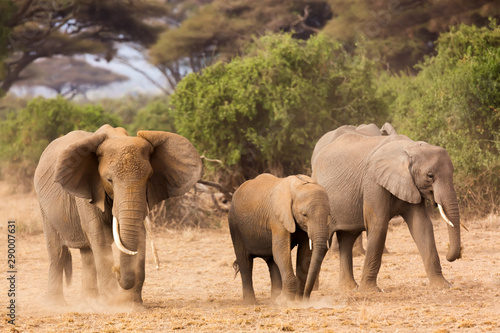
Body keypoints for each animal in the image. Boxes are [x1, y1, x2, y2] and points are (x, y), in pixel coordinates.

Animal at [33, 124, 203, 304]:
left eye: (149, 178)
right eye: (109, 180)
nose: (117, 270)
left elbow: (139, 235)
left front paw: (132, 304)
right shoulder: (88, 191)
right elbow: (99, 235)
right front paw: (112, 303)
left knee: (87, 253)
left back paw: (89, 301)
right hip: (43, 206)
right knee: (58, 252)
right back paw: (57, 304)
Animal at [228, 174, 332, 304]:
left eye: (329, 214)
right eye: (304, 215)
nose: (306, 298)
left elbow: (304, 252)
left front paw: (297, 301)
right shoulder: (277, 217)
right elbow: (281, 250)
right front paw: (285, 301)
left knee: (272, 261)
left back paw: (274, 300)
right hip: (235, 224)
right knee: (245, 261)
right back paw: (251, 303)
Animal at [310, 130, 462, 290]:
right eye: (430, 176)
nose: (451, 256)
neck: (409, 148)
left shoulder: (411, 184)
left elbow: (421, 225)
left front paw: (444, 285)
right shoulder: (373, 181)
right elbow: (378, 225)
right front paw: (370, 291)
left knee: (347, 239)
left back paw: (349, 288)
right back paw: (314, 290)